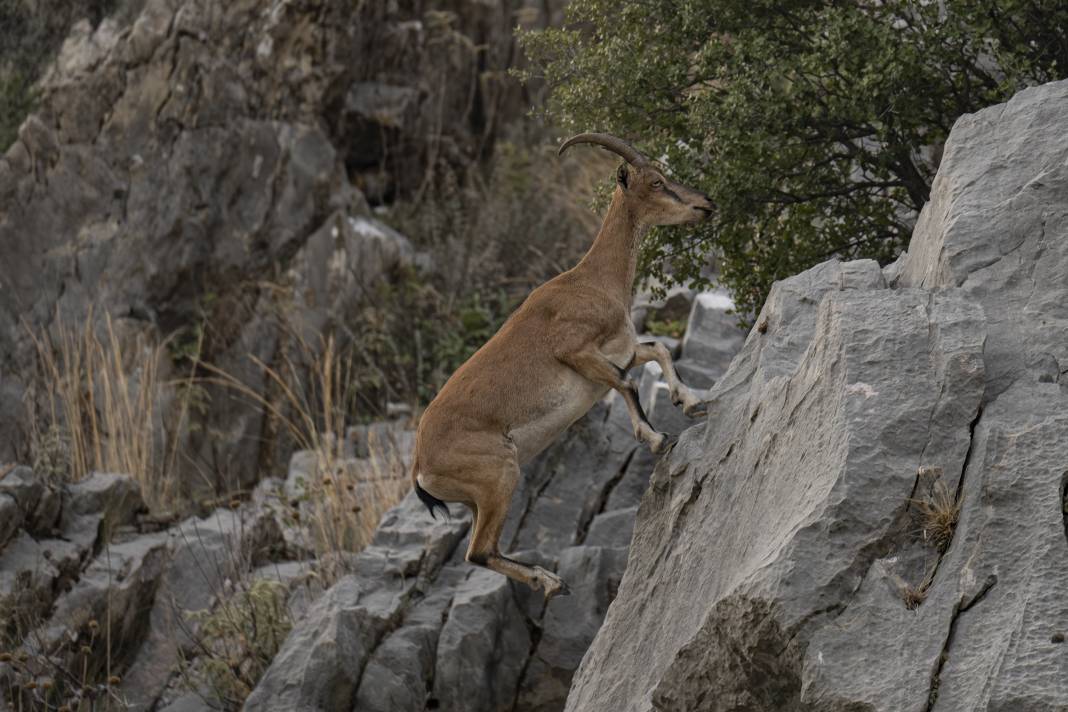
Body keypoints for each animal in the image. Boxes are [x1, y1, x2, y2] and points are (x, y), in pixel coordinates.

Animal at [412, 132, 713, 597]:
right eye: (657, 182)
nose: (706, 203)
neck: (593, 280)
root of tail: (420, 469)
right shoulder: (576, 352)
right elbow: (627, 383)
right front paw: (657, 438)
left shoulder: (618, 350)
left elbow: (656, 352)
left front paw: (692, 403)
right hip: (500, 474)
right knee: (478, 551)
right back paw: (551, 581)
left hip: (483, 493)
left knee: (482, 550)